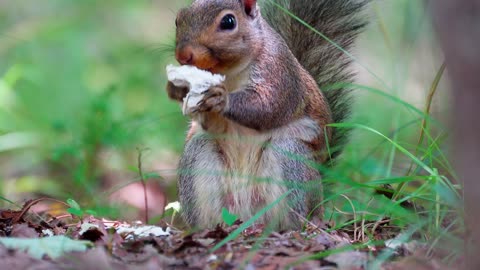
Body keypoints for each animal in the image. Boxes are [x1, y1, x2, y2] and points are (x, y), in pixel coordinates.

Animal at [167, 0, 370, 230]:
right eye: (178, 19)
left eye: (228, 22)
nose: (183, 55)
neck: (229, 73)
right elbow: (213, 125)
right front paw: (178, 89)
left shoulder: (281, 75)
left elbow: (267, 108)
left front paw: (221, 98)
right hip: (198, 157)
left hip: (290, 156)